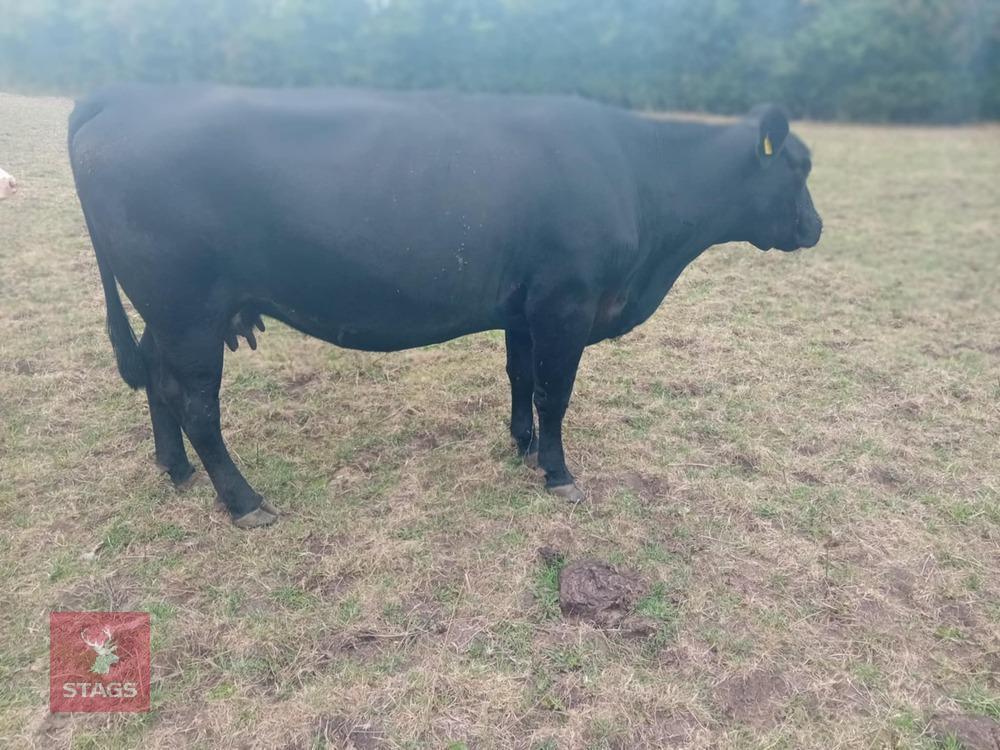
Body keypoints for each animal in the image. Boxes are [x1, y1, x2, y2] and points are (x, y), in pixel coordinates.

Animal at [68, 85, 822, 528]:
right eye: (797, 168)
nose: (815, 227)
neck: (636, 174)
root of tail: (126, 96)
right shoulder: (566, 303)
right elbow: (555, 391)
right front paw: (558, 472)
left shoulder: (524, 305)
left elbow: (521, 378)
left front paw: (521, 445)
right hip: (188, 308)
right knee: (195, 402)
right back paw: (244, 502)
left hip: (170, 312)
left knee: (156, 379)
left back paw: (175, 470)